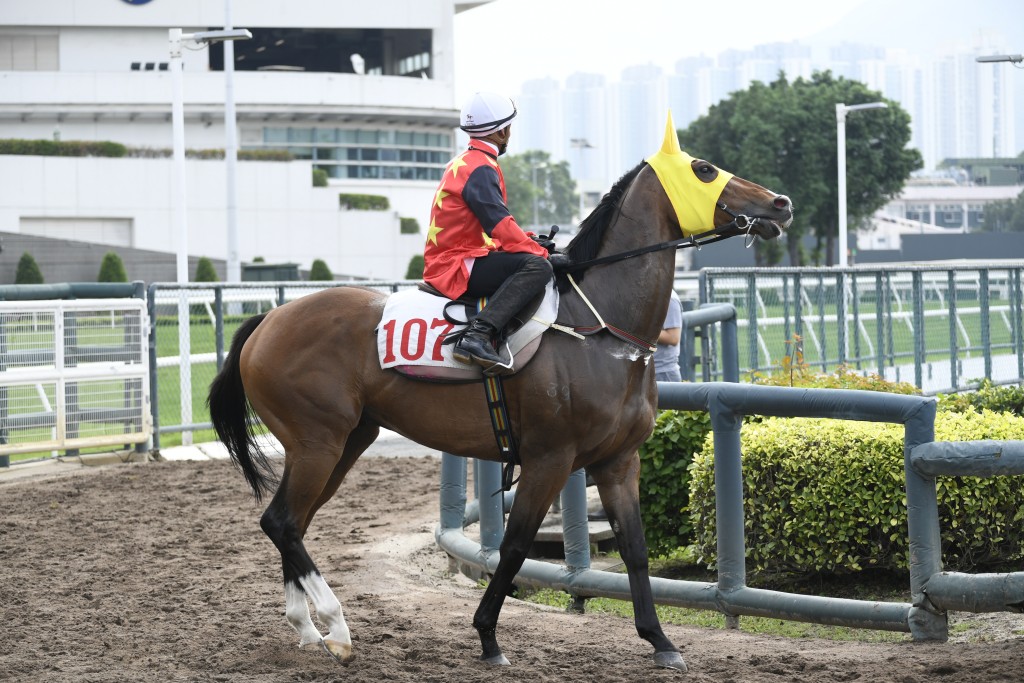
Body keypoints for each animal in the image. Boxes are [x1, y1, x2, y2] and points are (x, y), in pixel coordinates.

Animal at [207, 118, 794, 671]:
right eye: (704, 169)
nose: (781, 203)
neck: (600, 328)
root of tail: (266, 321)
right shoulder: (549, 458)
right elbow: (513, 547)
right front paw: (488, 636)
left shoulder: (619, 461)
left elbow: (635, 550)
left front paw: (660, 641)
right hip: (318, 441)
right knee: (283, 521)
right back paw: (337, 627)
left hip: (348, 440)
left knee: (289, 523)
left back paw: (309, 630)